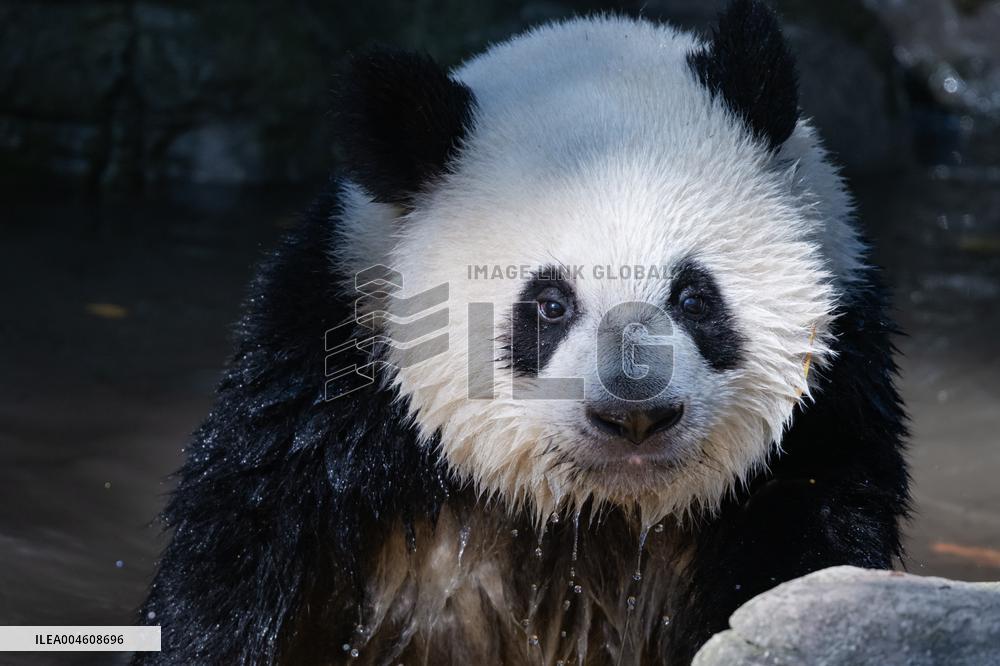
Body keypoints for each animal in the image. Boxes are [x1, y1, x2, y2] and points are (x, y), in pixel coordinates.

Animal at [137, 1, 909, 664]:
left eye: (694, 297)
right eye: (549, 305)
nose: (635, 414)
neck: (593, 515)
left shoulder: (832, 406)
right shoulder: (331, 373)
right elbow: (242, 553)